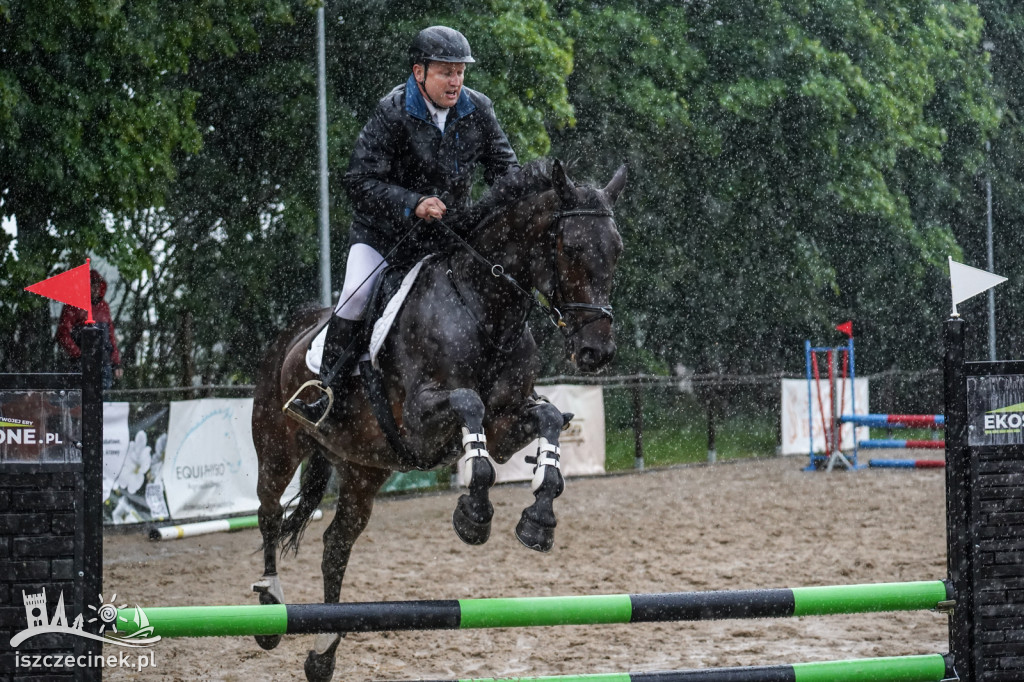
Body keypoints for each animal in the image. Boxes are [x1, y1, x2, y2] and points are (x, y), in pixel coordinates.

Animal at [251, 159, 626, 679]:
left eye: (617, 250)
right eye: (570, 248)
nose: (596, 351)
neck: (485, 309)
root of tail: (287, 333)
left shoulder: (506, 426)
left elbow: (549, 418)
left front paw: (538, 519)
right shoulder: (420, 421)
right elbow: (470, 407)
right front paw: (474, 515)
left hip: (364, 470)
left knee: (335, 545)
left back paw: (323, 653)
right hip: (278, 448)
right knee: (268, 514)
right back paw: (270, 611)